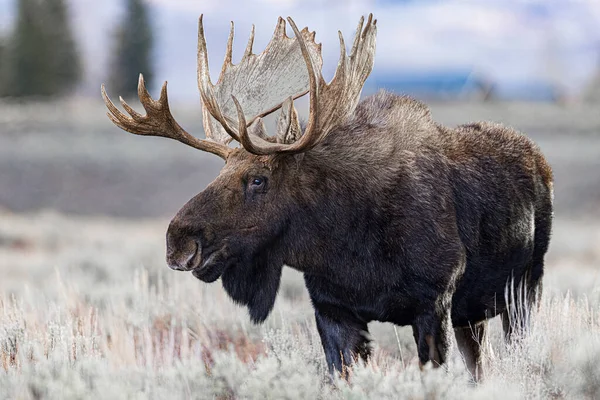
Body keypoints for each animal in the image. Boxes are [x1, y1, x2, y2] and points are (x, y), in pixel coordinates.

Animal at [102, 14, 552, 380]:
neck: (350, 243)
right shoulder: (332, 310)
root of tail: (539, 159)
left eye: (258, 179)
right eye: (220, 172)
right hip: (473, 314)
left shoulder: (434, 304)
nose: (178, 241)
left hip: (523, 293)